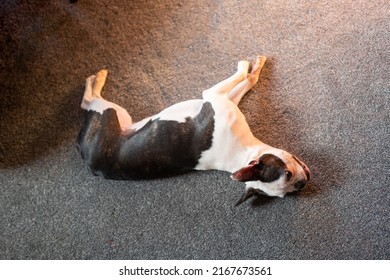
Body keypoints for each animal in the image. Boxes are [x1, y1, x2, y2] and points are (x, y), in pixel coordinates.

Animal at [77, 56, 310, 206]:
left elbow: (244, 83)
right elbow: (242, 77)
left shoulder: (223, 100)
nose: (302, 183)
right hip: (110, 112)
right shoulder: (214, 96)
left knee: (87, 103)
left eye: (291, 190)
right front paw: (249, 65)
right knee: (87, 101)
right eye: (288, 174)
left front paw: (254, 68)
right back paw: (95, 79)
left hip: (121, 116)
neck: (242, 155)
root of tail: (89, 164)